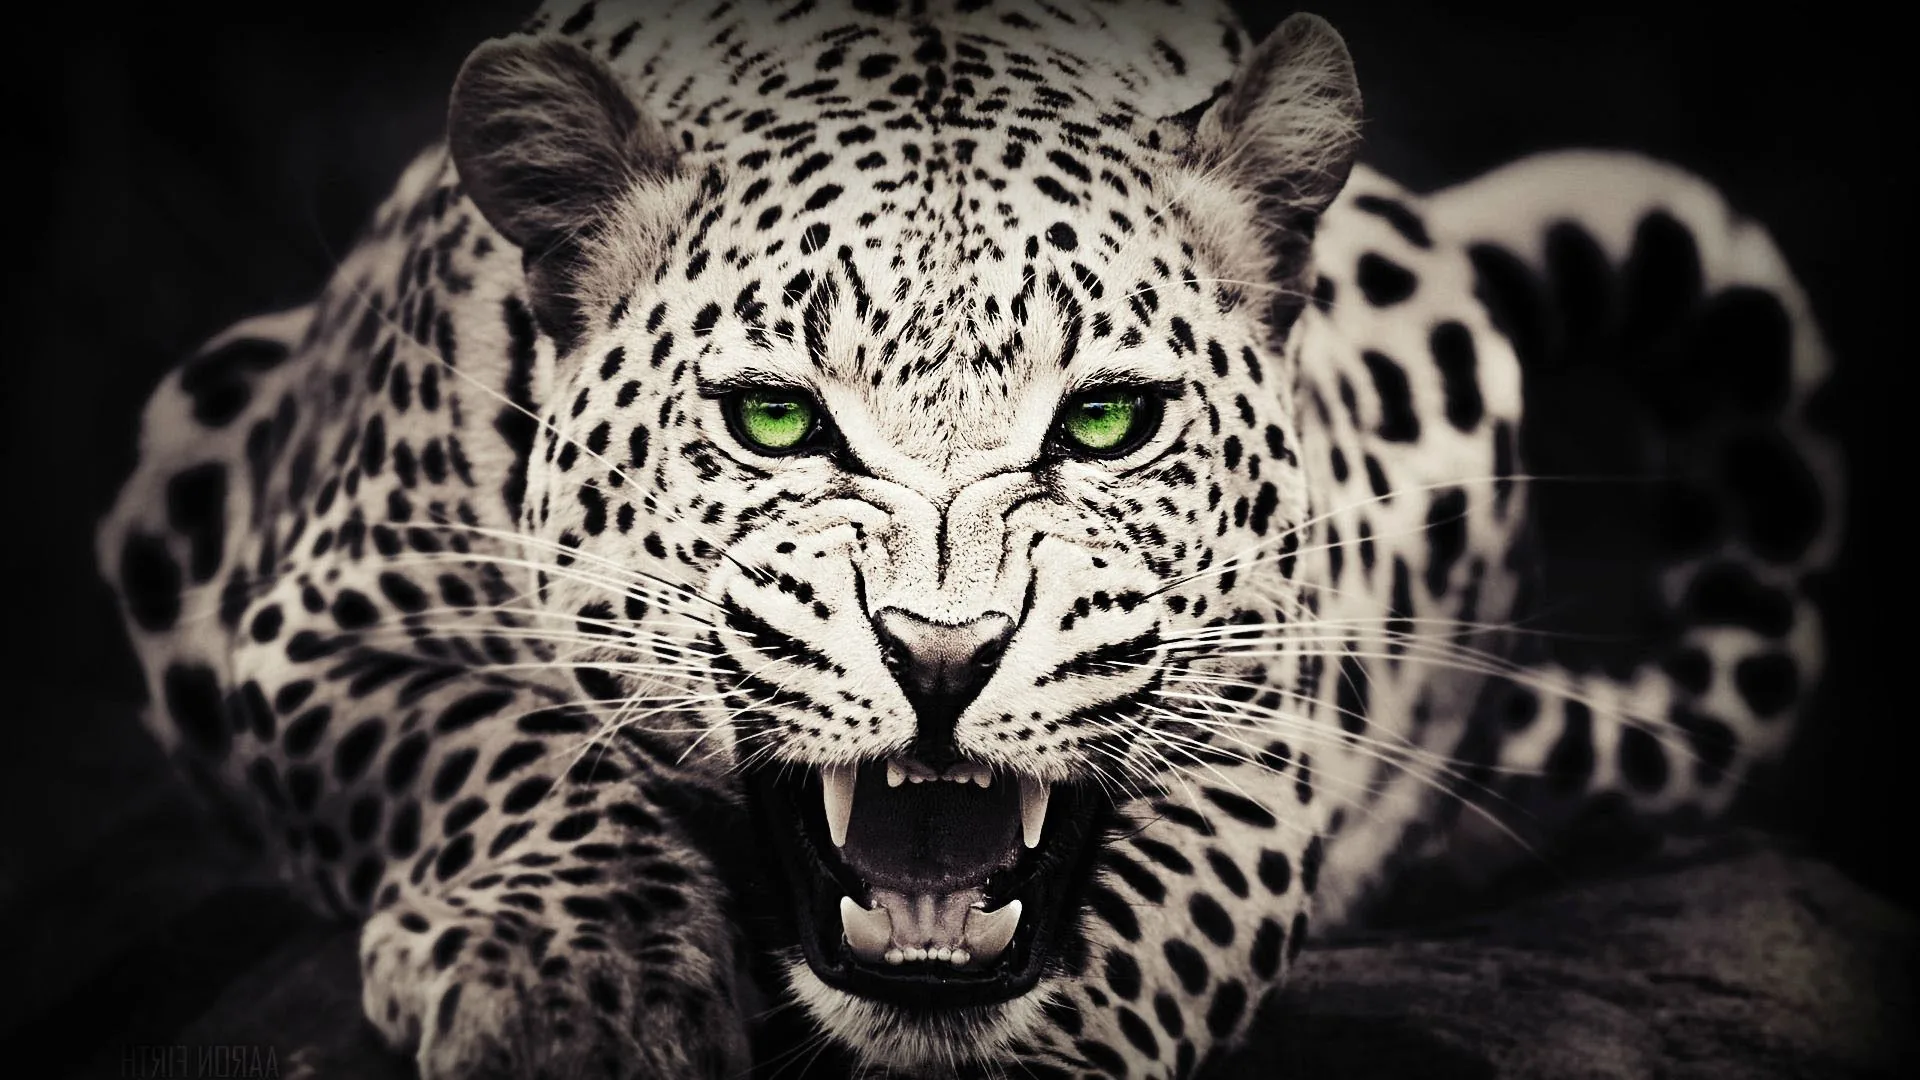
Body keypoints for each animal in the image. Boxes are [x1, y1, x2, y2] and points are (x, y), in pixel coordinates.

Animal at [95, 0, 1843, 1076]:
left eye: (1108, 422)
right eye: (777, 421)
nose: (944, 657)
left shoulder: (1265, 714)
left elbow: (1161, 914)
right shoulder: (313, 619)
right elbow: (488, 745)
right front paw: (569, 988)